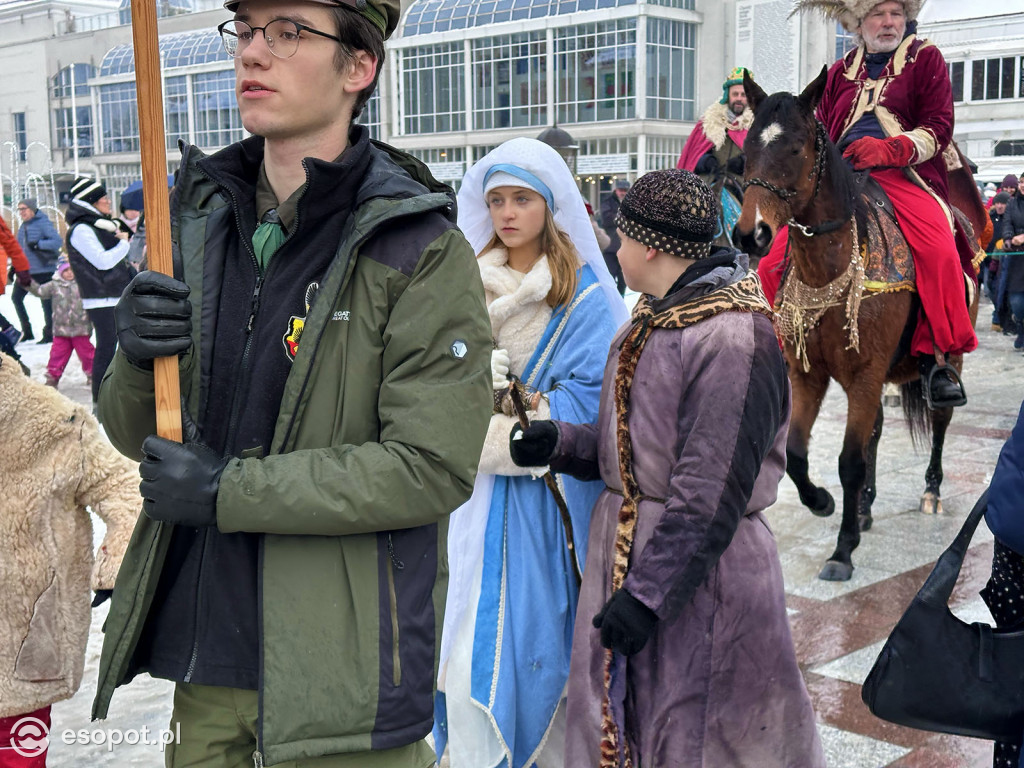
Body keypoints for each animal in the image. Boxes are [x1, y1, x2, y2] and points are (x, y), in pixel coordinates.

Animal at [737, 69, 983, 581]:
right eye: (746, 150)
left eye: (795, 149)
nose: (751, 234)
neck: (827, 269)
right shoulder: (808, 375)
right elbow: (796, 454)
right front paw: (824, 503)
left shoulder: (866, 375)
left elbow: (848, 460)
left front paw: (842, 550)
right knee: (876, 431)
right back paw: (866, 506)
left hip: (950, 355)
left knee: (940, 419)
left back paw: (930, 491)